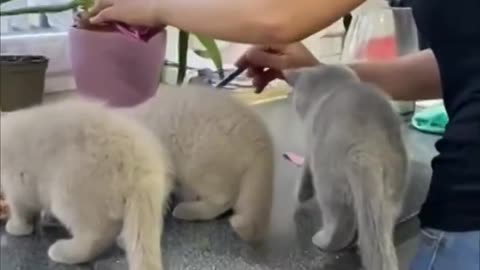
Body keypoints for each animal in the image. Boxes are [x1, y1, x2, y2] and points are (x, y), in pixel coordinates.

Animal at [0, 99, 172, 270]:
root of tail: (141, 165)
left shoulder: (17, 182)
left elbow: (19, 209)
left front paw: (16, 226)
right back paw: (124, 239)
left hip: (69, 191)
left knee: (95, 236)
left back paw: (62, 251)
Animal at [284, 65, 408, 270]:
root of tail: (364, 149)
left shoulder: (310, 147)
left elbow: (304, 176)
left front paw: (299, 195)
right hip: (392, 191)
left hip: (328, 183)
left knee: (338, 222)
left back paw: (322, 240)